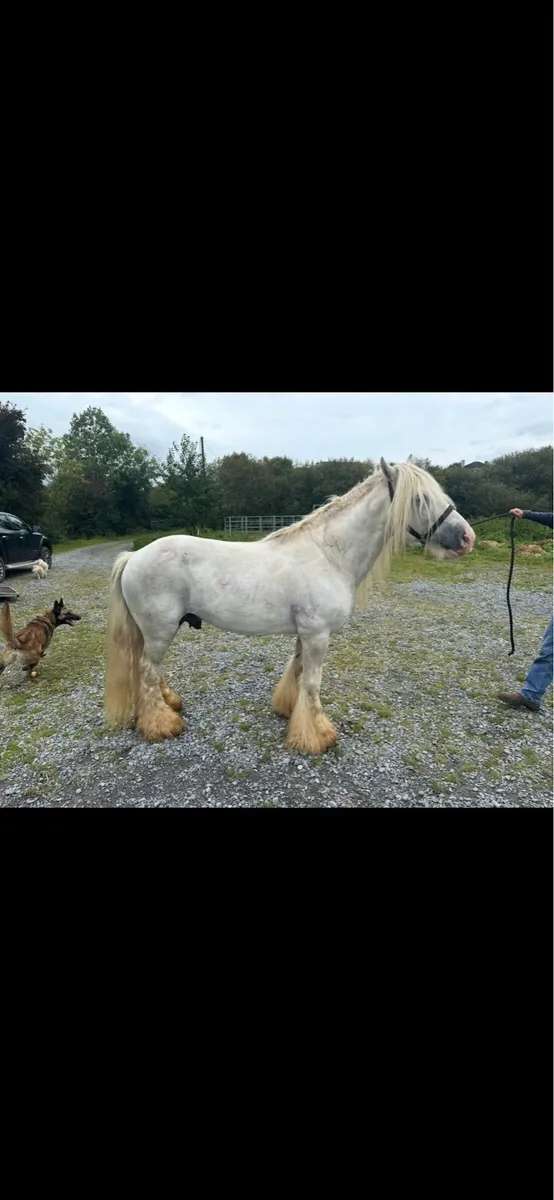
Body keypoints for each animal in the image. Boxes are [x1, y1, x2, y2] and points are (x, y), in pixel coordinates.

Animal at [104, 458, 475, 754]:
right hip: (160, 629)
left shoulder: (307, 633)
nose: (467, 538)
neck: (329, 555)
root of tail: (134, 556)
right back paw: (162, 725)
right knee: (148, 670)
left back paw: (170, 705)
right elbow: (312, 683)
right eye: (420, 498)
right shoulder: (318, 634)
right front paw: (317, 736)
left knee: (151, 671)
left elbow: (297, 672)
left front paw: (288, 711)